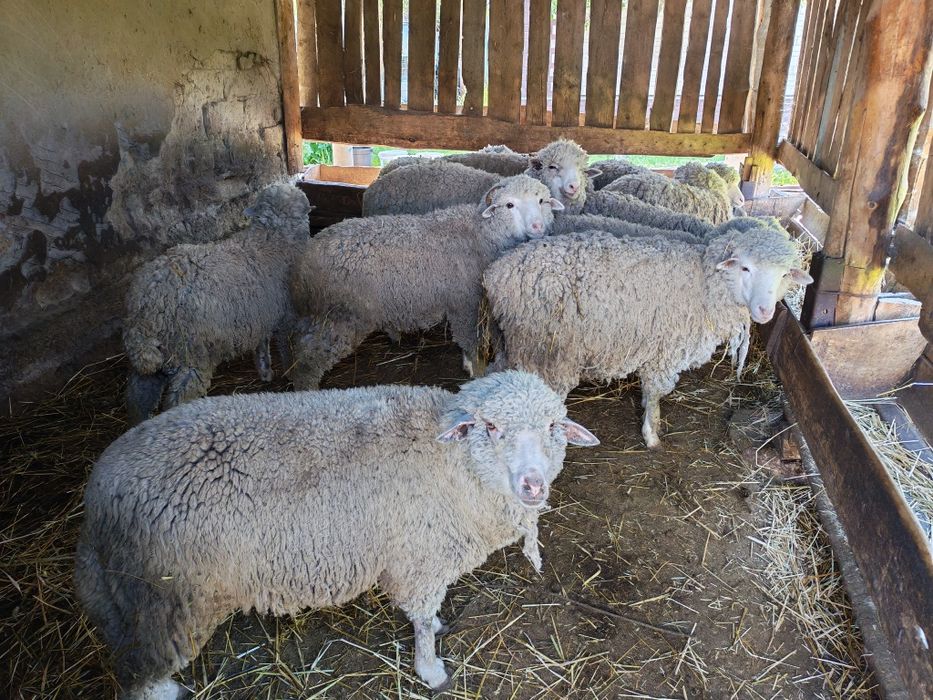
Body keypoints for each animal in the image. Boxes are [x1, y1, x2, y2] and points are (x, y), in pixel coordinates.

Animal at [74, 370, 600, 698]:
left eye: (554, 426)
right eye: (489, 426)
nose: (533, 485)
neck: (453, 463)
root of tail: (97, 490)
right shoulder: (420, 558)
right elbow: (420, 619)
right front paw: (431, 670)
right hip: (168, 595)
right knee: (142, 668)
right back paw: (165, 690)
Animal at [123, 183, 311, 425]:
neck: (271, 238)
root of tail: (144, 307)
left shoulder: (261, 315)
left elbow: (262, 345)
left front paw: (265, 372)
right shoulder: (285, 316)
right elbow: (286, 349)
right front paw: (290, 373)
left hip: (156, 361)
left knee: (138, 397)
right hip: (191, 355)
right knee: (177, 397)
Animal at [290, 175, 563, 389]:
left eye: (542, 201)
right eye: (509, 204)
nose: (537, 226)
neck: (480, 233)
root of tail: (309, 254)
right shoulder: (464, 304)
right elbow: (471, 341)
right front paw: (476, 371)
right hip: (343, 314)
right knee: (310, 357)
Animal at [482, 219, 812, 449]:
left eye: (785, 274)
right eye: (745, 268)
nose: (764, 311)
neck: (704, 283)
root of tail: (495, 272)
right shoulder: (664, 351)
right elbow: (655, 392)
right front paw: (651, 433)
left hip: (513, 343)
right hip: (544, 349)